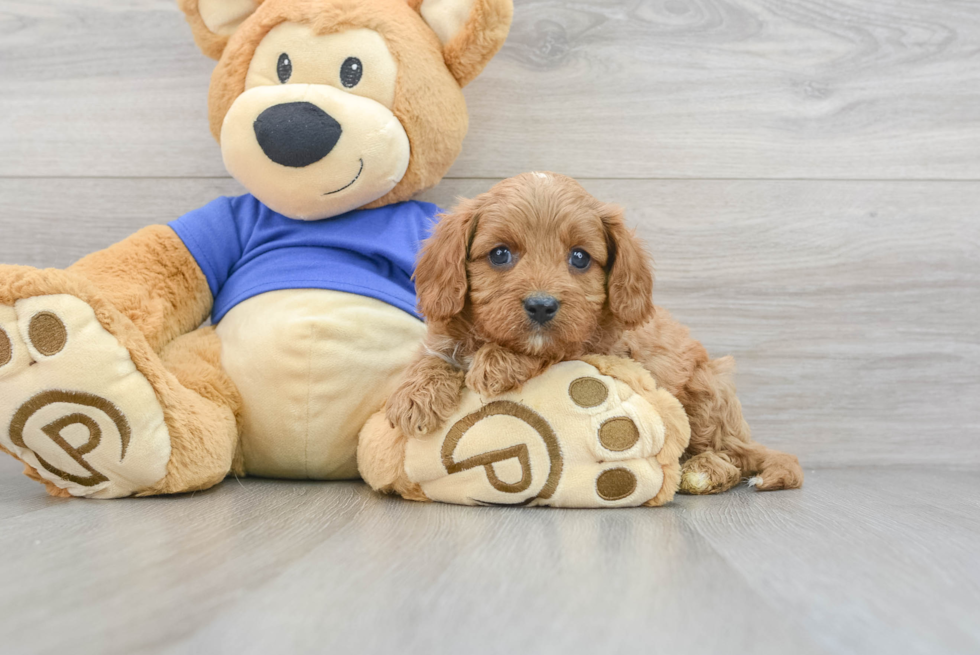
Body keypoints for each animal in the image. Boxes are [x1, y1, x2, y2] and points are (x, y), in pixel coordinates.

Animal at [386, 172, 808, 494]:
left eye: (579, 257)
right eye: (500, 254)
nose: (542, 306)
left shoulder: (597, 350)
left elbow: (553, 349)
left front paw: (498, 362)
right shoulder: (446, 338)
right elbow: (431, 356)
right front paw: (414, 397)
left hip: (707, 394)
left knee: (733, 456)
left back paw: (703, 471)